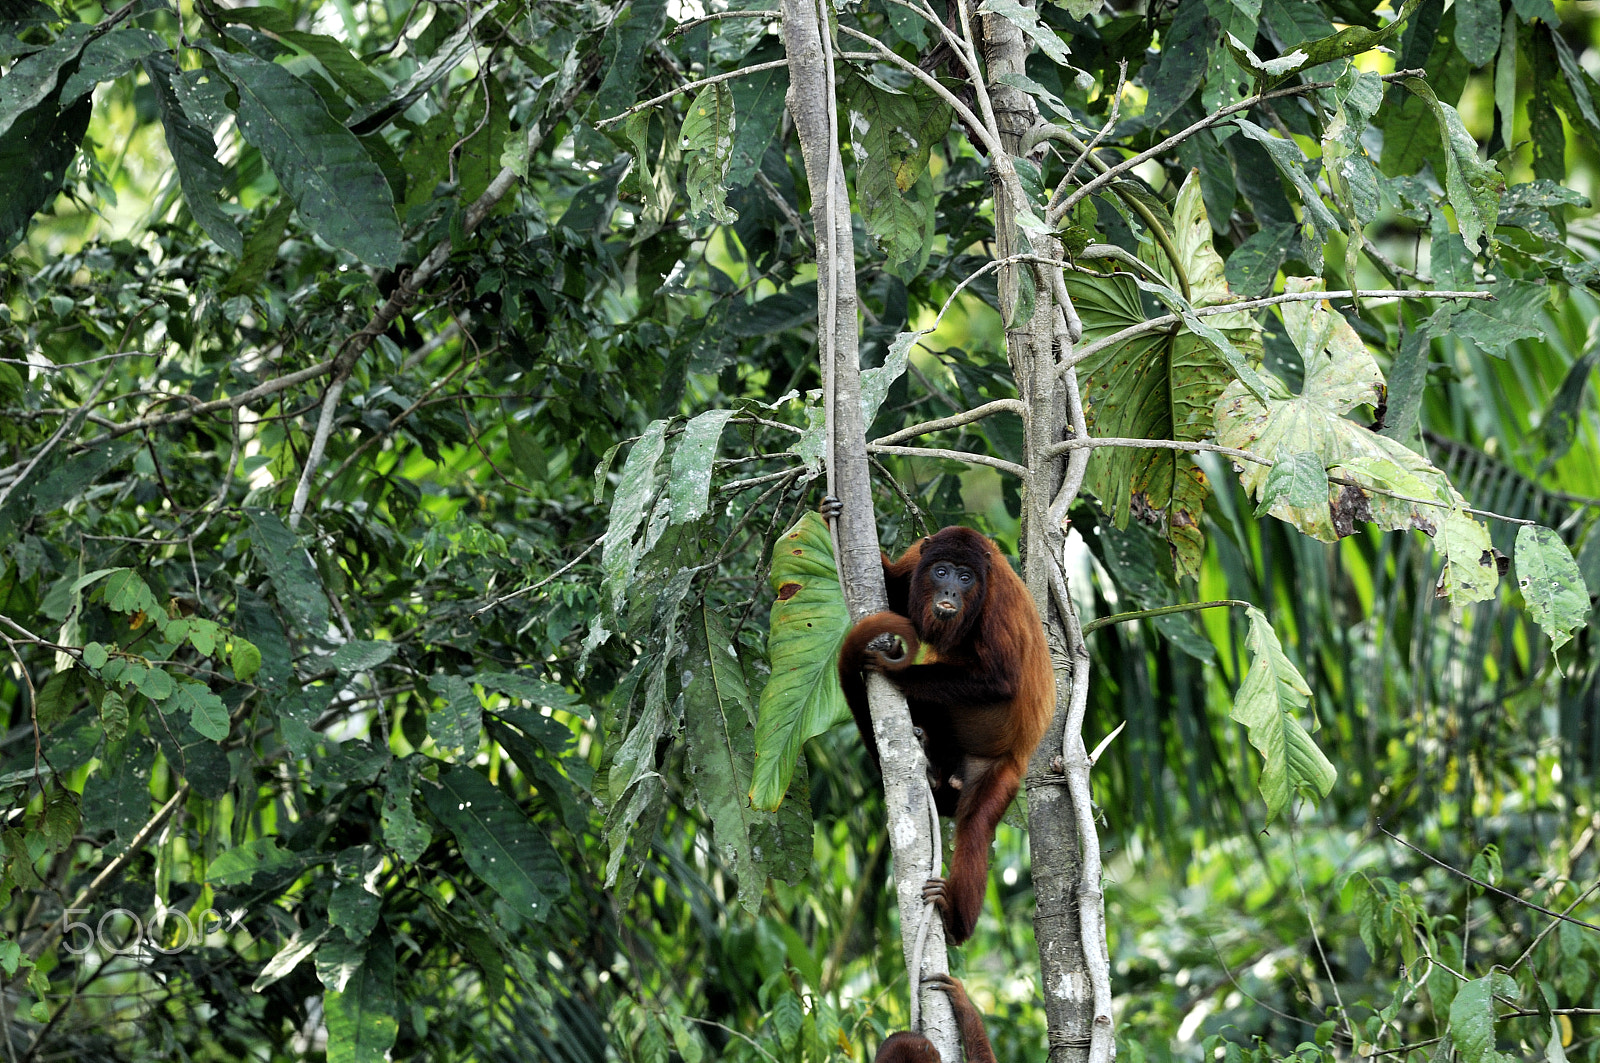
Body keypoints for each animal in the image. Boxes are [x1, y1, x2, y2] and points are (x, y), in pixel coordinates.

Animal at [838, 518, 1049, 941]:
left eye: (965, 578)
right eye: (941, 571)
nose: (950, 590)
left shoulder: (998, 604)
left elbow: (1000, 680)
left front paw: (895, 672)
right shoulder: (916, 559)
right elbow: (894, 590)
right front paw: (826, 512)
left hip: (1002, 771)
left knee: (975, 828)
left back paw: (954, 919)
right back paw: (930, 759)